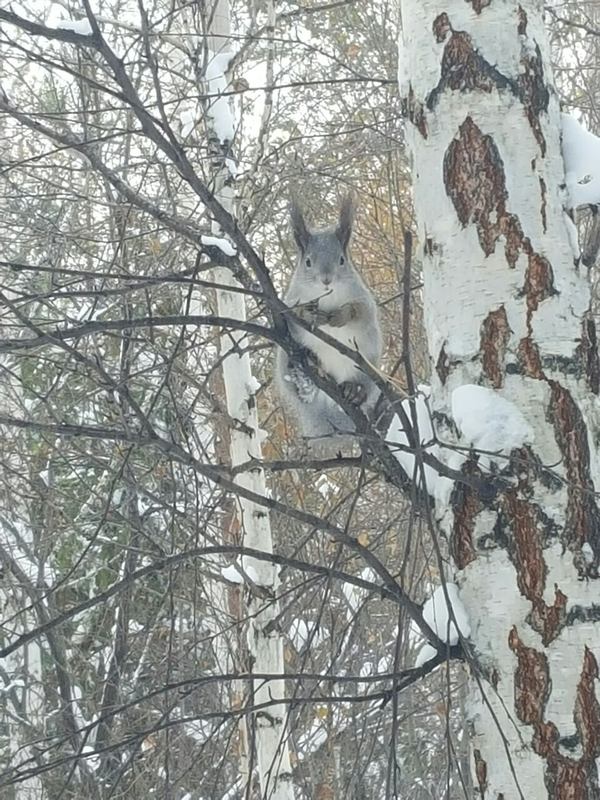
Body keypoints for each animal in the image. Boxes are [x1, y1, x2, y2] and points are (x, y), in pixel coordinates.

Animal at [274, 196, 382, 440]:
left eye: (342, 260)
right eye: (308, 262)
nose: (326, 279)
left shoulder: (363, 301)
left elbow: (358, 313)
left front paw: (339, 316)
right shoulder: (289, 303)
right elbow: (294, 317)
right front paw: (307, 313)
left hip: (368, 367)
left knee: (362, 385)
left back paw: (354, 391)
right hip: (285, 359)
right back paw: (304, 375)